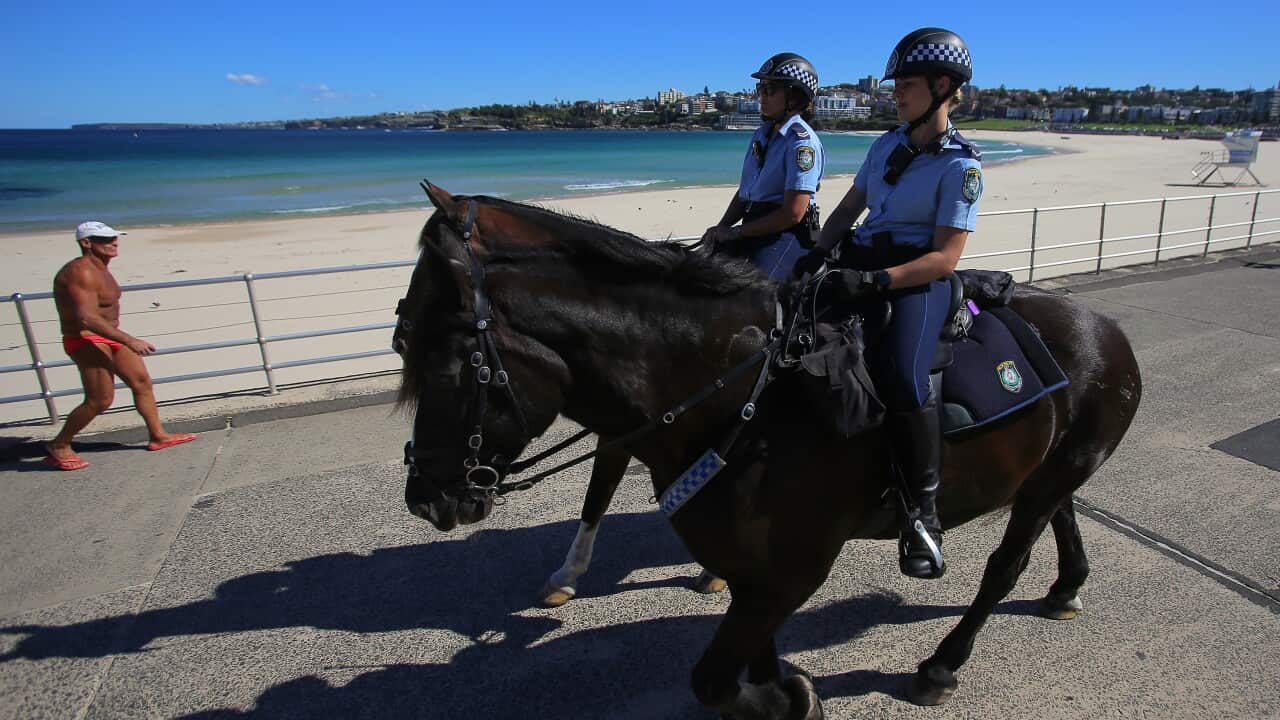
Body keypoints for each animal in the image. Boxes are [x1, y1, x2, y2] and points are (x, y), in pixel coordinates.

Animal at [395, 181, 1141, 718]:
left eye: (447, 366)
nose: (424, 496)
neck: (740, 393)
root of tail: (1102, 325)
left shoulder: (792, 569)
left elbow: (714, 680)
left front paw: (789, 698)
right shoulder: (758, 573)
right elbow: (747, 653)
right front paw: (780, 685)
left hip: (1051, 478)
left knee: (1004, 567)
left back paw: (941, 664)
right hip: (1045, 471)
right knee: (1060, 512)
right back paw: (1067, 586)